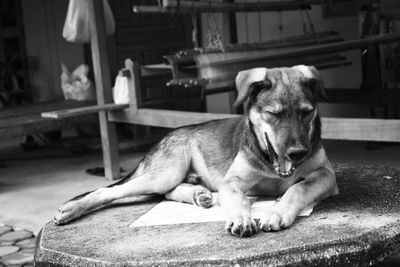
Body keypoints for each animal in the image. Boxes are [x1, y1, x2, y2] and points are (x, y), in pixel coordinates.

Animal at [54, 65, 340, 239]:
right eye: (274, 114)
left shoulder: (325, 174)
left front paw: (277, 211)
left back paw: (198, 194)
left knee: (166, 192)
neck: (271, 164)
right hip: (165, 172)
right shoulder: (231, 181)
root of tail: (162, 139)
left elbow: (297, 188)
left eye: (306, 112)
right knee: (110, 191)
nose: (298, 153)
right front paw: (241, 218)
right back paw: (70, 209)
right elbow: (239, 198)